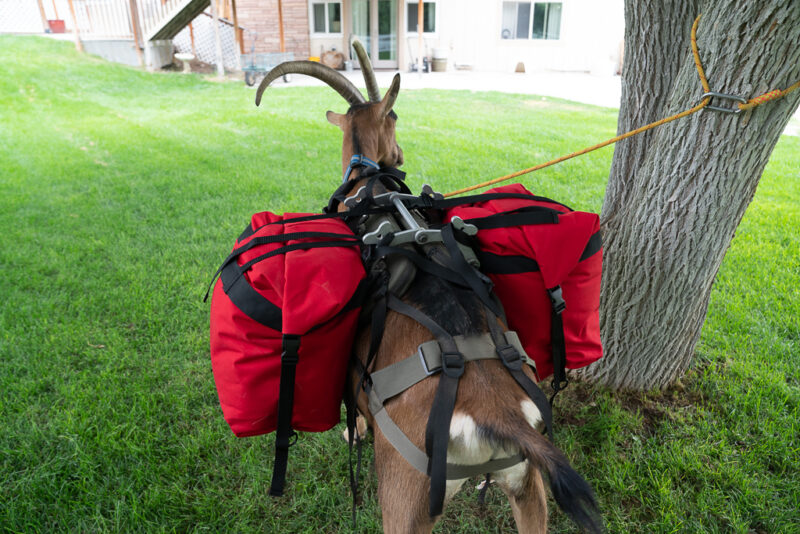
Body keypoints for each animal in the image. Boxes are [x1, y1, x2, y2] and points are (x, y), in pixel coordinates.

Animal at [256, 43, 600, 534]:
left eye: (394, 113)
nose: (398, 155)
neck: (367, 184)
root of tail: (497, 415)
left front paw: (352, 432)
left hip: (406, 497)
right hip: (528, 487)